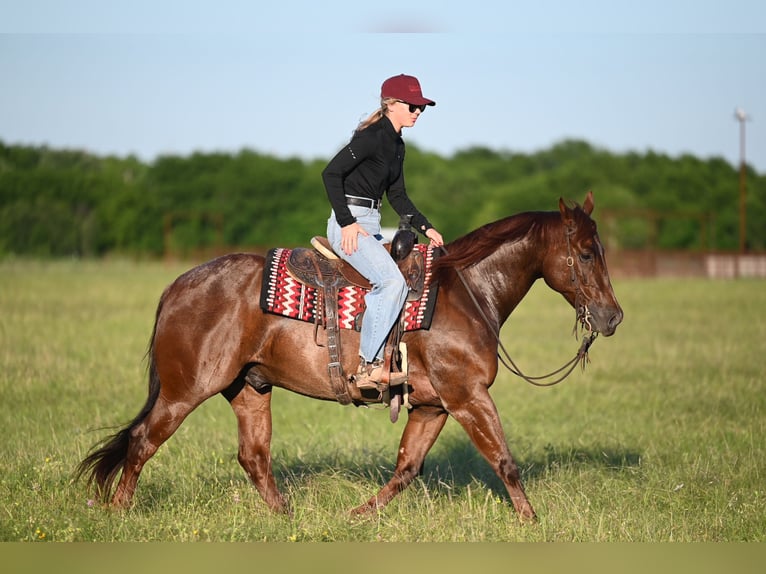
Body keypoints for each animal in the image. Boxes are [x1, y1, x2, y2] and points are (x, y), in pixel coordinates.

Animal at [76, 191, 622, 521]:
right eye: (586, 252)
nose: (612, 317)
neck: (466, 293)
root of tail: (178, 286)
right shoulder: (467, 396)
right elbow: (505, 460)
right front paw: (532, 522)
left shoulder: (433, 405)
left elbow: (406, 468)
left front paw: (357, 516)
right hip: (185, 389)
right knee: (143, 442)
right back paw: (120, 512)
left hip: (249, 388)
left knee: (254, 457)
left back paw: (286, 518)